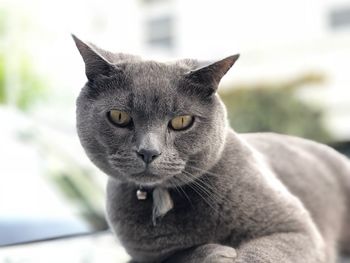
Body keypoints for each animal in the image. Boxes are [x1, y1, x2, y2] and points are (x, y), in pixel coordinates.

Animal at [72, 35, 350, 263]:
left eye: (182, 121)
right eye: (119, 116)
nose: (148, 151)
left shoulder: (294, 227)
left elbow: (261, 254)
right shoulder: (146, 256)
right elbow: (174, 258)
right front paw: (215, 253)